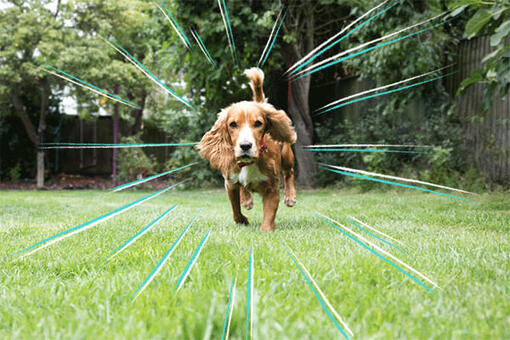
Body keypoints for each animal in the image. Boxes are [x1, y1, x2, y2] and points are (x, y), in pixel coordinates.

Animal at [197, 67, 296, 231]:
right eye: (232, 124)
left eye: (258, 123)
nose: (245, 146)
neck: (250, 162)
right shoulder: (230, 182)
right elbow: (235, 209)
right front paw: (242, 219)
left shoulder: (272, 187)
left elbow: (269, 214)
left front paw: (266, 230)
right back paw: (247, 199)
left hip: (286, 154)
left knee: (289, 172)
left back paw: (290, 196)